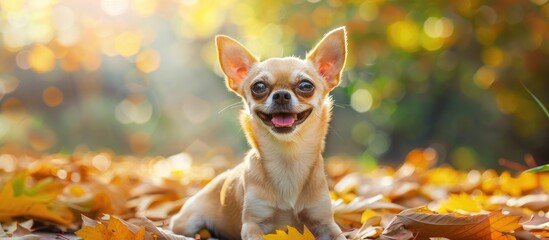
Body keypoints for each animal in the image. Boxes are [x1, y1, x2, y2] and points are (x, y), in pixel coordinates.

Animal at [169, 27, 344, 239]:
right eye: (259, 87)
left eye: (305, 86)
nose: (281, 95)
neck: (288, 159)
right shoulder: (252, 224)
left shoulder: (325, 222)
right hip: (188, 221)